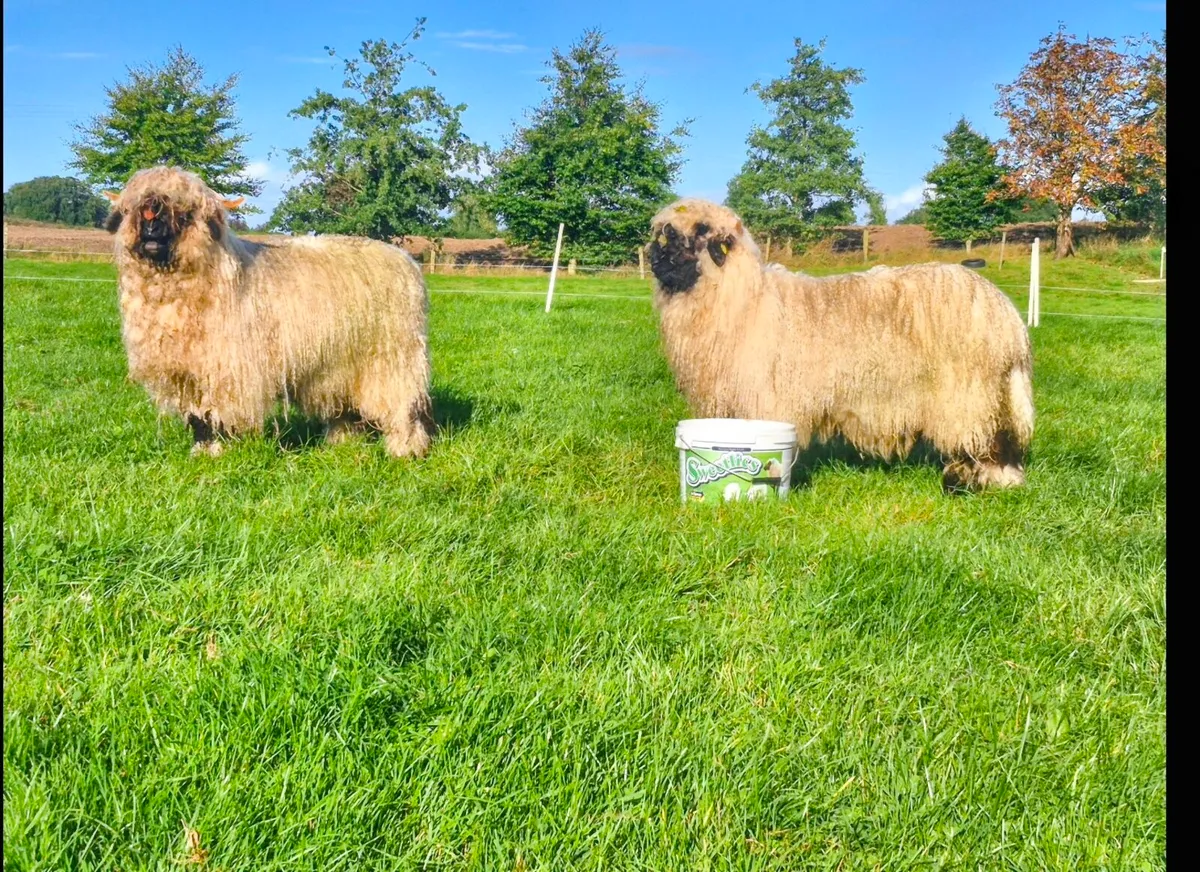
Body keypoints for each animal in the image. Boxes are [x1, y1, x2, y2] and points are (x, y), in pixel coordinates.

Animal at [103, 166, 433, 458]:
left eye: (184, 213)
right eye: (134, 210)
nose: (151, 229)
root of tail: (406, 261)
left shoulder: (227, 368)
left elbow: (215, 415)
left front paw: (216, 451)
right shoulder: (188, 372)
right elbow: (198, 417)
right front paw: (201, 450)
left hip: (391, 356)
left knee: (402, 403)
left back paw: (406, 449)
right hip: (341, 360)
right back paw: (341, 441)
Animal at [647, 198, 1034, 492]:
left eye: (700, 230)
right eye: (661, 233)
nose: (657, 252)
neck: (744, 299)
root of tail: (1009, 319)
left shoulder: (767, 398)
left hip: (968, 393)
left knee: (984, 439)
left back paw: (974, 481)